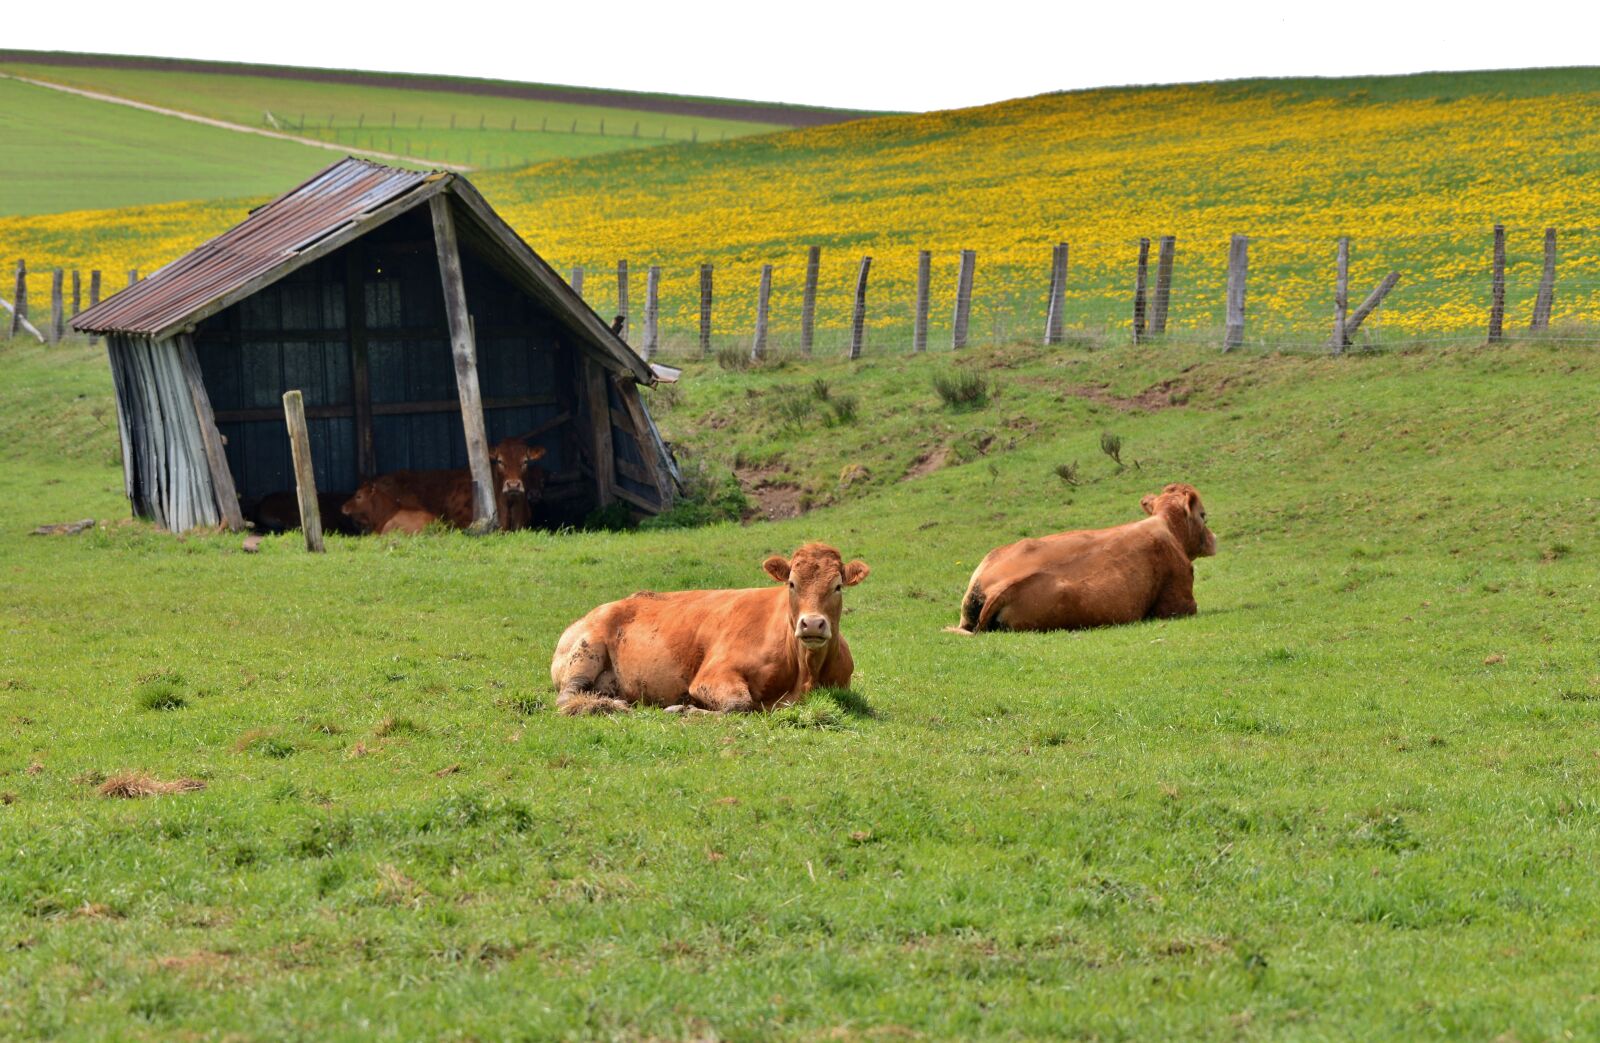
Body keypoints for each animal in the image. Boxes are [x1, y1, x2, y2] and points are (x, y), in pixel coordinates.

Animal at [549, 542, 870, 715]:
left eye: (837, 586)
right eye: (792, 583)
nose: (812, 623)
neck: (805, 673)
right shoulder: (712, 676)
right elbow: (739, 704)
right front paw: (682, 708)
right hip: (585, 652)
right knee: (567, 696)